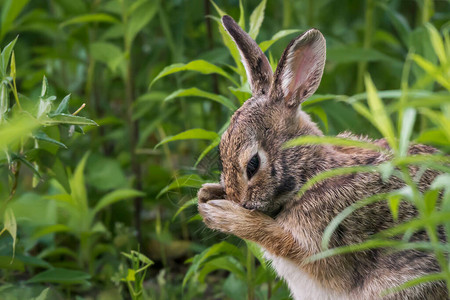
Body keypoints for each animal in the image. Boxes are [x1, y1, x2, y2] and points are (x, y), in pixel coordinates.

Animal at [198, 14, 446, 300]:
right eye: (221, 152)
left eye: (253, 165)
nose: (241, 202)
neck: (310, 173)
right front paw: (206, 194)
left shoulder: (325, 240)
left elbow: (280, 240)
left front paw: (222, 214)